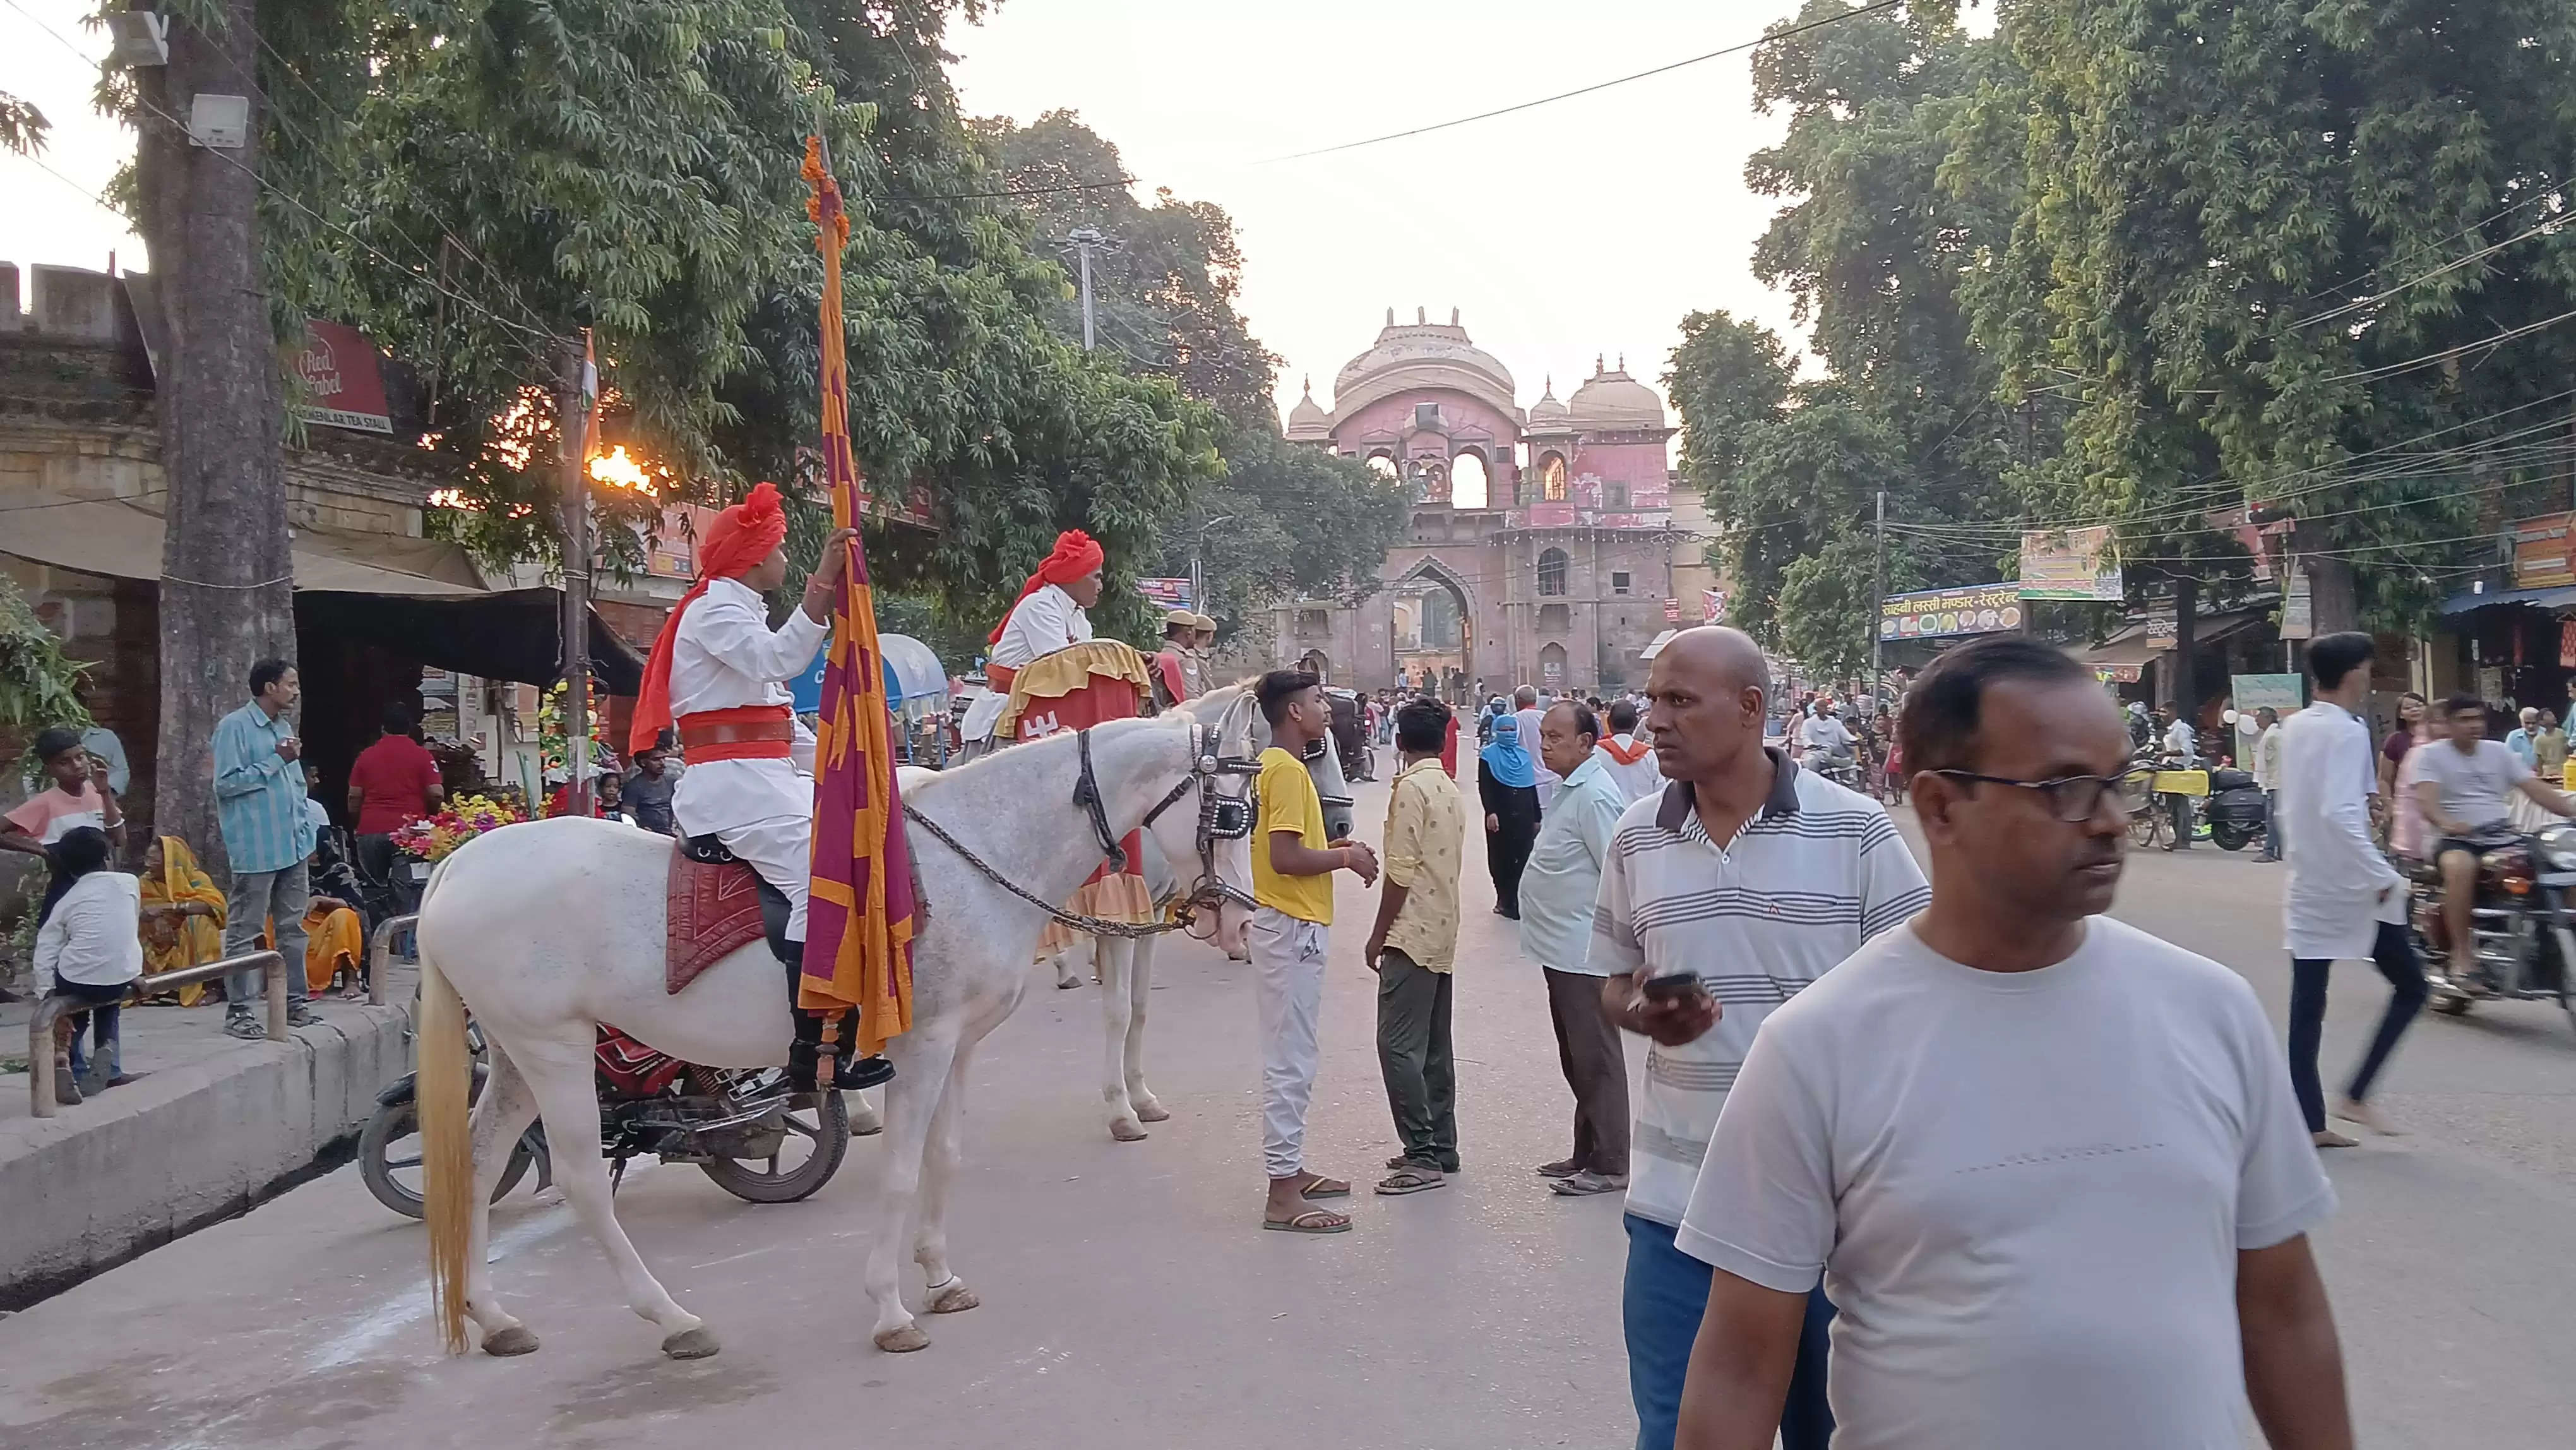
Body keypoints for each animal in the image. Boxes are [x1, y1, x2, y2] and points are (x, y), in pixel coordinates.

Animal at [412, 705, 1257, 1360]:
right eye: (1232, 813)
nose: (1243, 919)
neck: (975, 855)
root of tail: (457, 865)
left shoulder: (961, 1046)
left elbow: (946, 1157)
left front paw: (940, 1277)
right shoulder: (924, 1046)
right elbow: (903, 1171)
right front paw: (890, 1308)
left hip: (516, 1055)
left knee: (478, 1163)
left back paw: (495, 1318)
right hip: (554, 1050)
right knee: (585, 1181)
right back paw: (674, 1318)